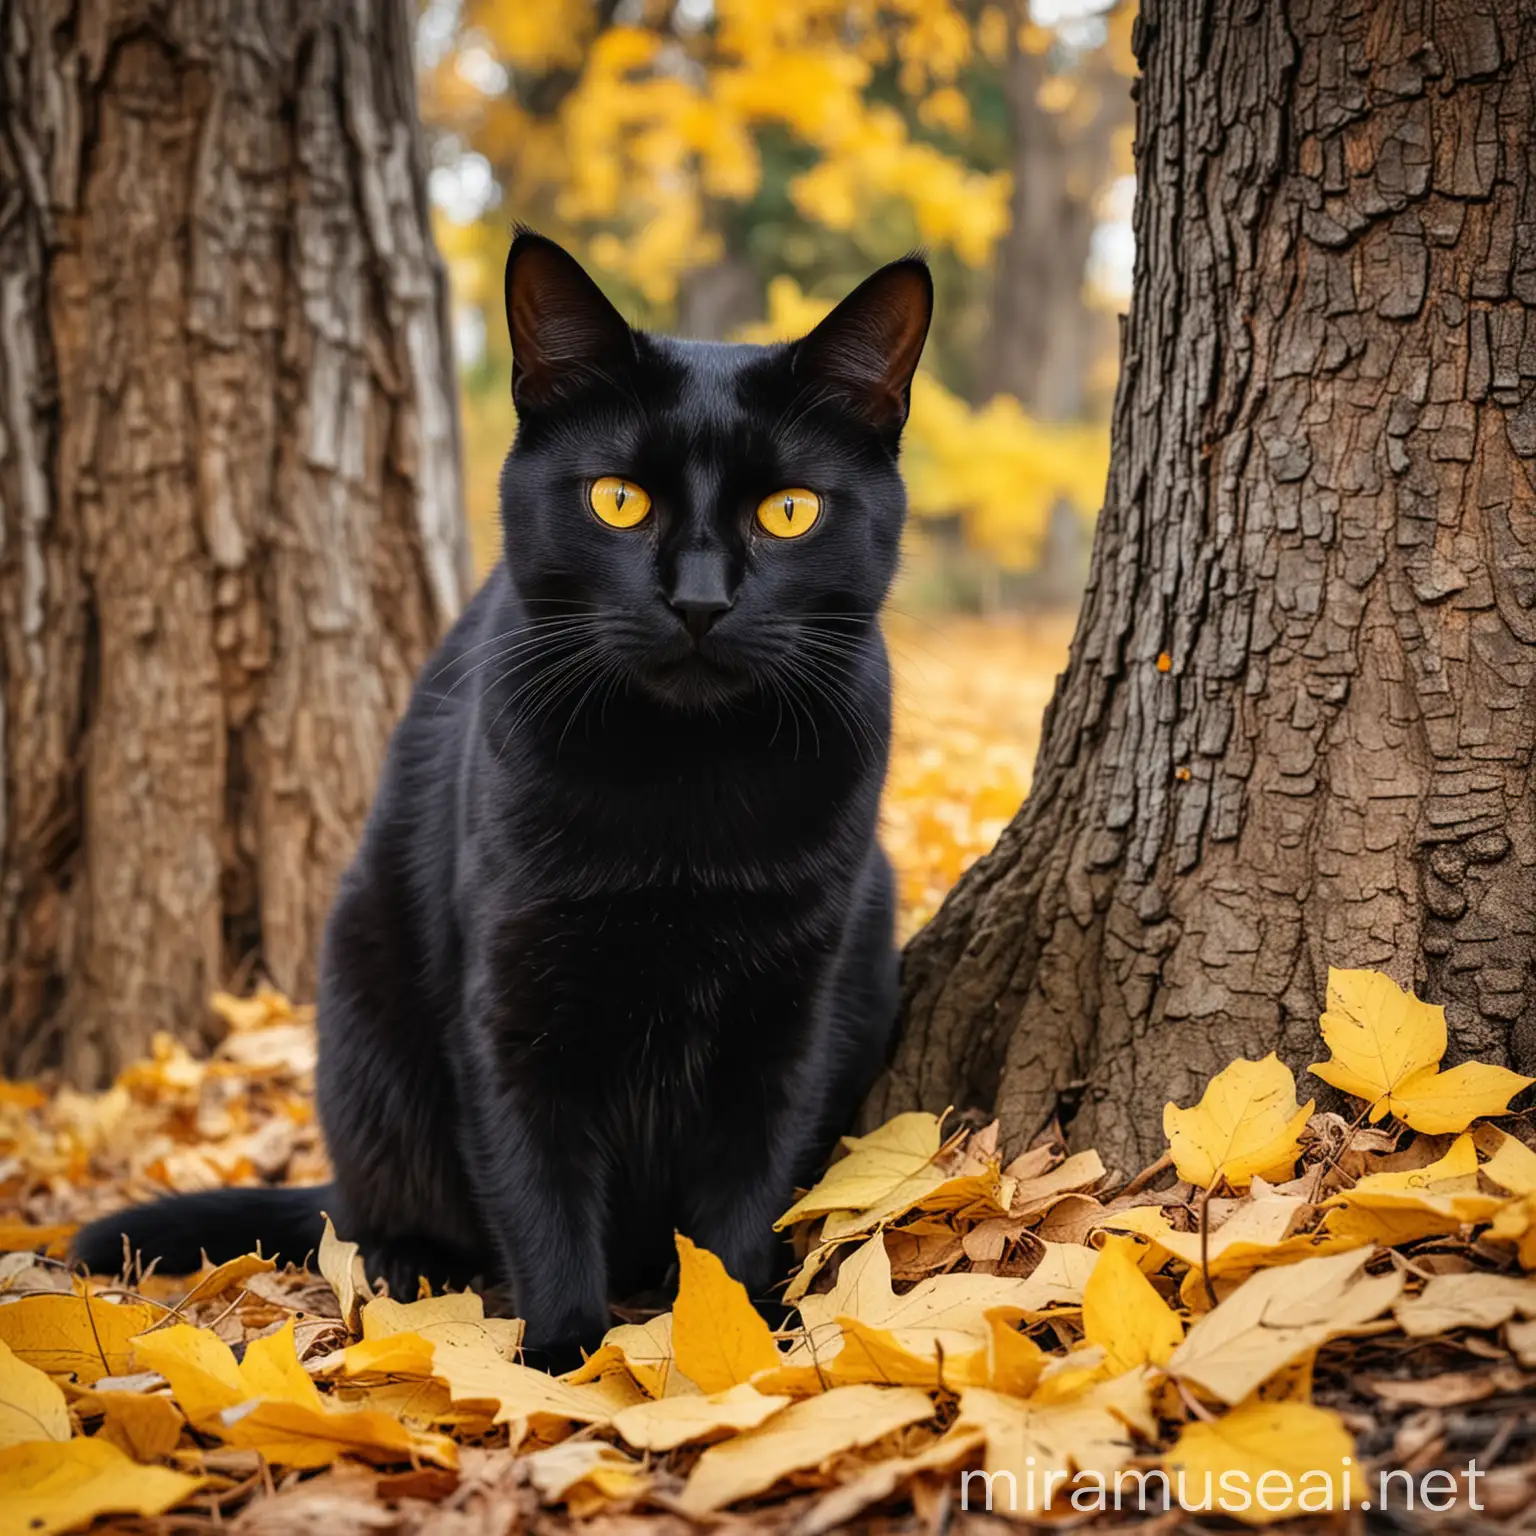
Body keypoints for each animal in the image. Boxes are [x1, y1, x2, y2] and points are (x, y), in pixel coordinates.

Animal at [77, 227, 927, 1357]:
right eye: (618, 499)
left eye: (789, 512)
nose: (700, 600)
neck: (685, 793)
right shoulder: (515, 1004)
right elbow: (540, 1194)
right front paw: (566, 1360)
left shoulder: (791, 1010)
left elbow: (747, 1191)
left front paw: (740, 1338)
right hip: (365, 1003)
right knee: (371, 1211)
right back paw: (406, 1268)